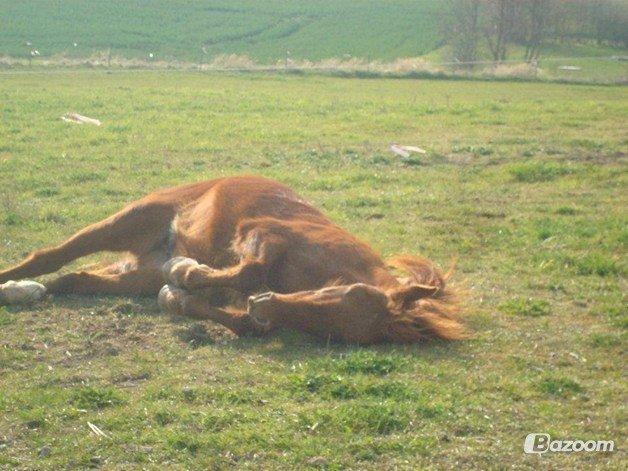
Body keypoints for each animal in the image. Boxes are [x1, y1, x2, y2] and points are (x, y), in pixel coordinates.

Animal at [1, 175, 466, 344]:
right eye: (348, 294)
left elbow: (237, 317)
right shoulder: (265, 233)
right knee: (53, 256)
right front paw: (187, 272)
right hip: (131, 218)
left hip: (133, 276)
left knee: (73, 279)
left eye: (332, 331)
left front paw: (181, 295)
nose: (264, 305)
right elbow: (248, 271)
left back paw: (23, 292)